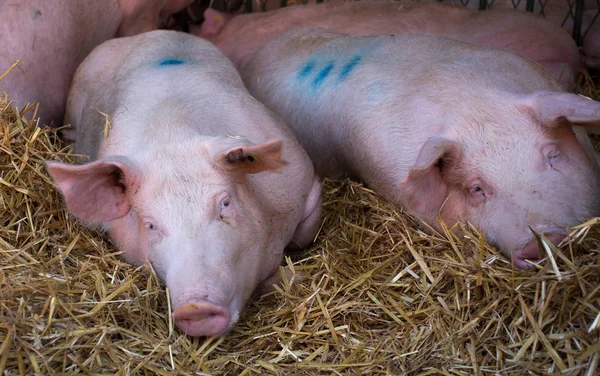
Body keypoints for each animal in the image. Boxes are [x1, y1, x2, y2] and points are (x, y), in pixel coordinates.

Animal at [43, 30, 324, 338]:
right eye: (150, 225)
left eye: (225, 203)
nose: (196, 306)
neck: (173, 134)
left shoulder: (305, 183)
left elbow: (304, 234)